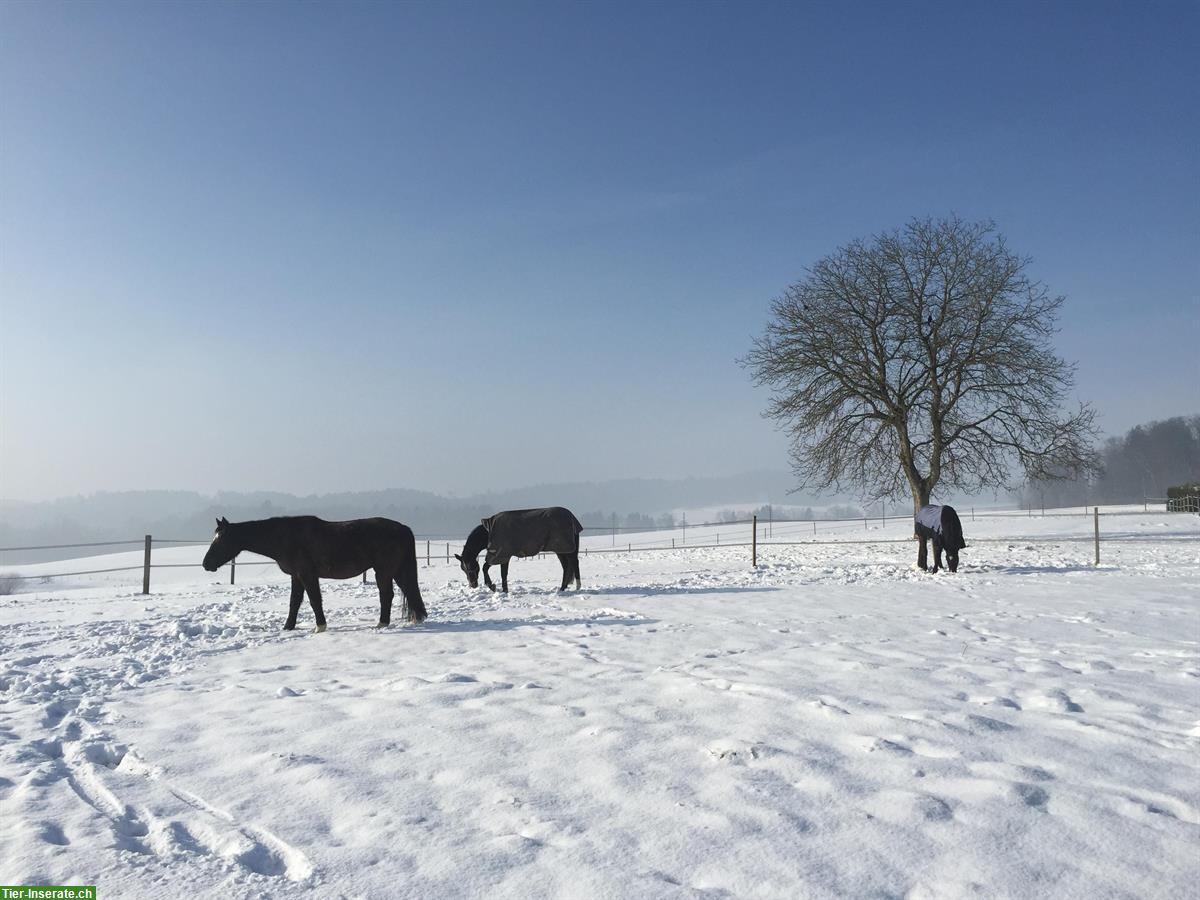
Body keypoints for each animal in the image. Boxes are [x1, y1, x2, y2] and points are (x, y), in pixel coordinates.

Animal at [204, 513, 429, 633]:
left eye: (220, 540)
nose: (206, 564)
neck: (286, 537)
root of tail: (403, 528)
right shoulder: (296, 576)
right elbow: (294, 602)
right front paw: (288, 627)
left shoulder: (307, 574)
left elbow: (314, 600)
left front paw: (320, 627)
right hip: (396, 570)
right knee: (407, 590)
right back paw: (417, 618)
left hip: (383, 571)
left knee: (387, 595)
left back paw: (382, 623)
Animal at [453, 511, 585, 595]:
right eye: (463, 569)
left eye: (471, 566)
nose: (473, 585)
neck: (489, 532)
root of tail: (572, 518)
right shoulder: (503, 555)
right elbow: (503, 573)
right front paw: (504, 590)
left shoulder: (501, 554)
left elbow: (487, 568)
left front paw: (493, 587)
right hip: (560, 550)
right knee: (566, 567)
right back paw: (563, 587)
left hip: (567, 550)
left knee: (574, 563)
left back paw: (575, 587)